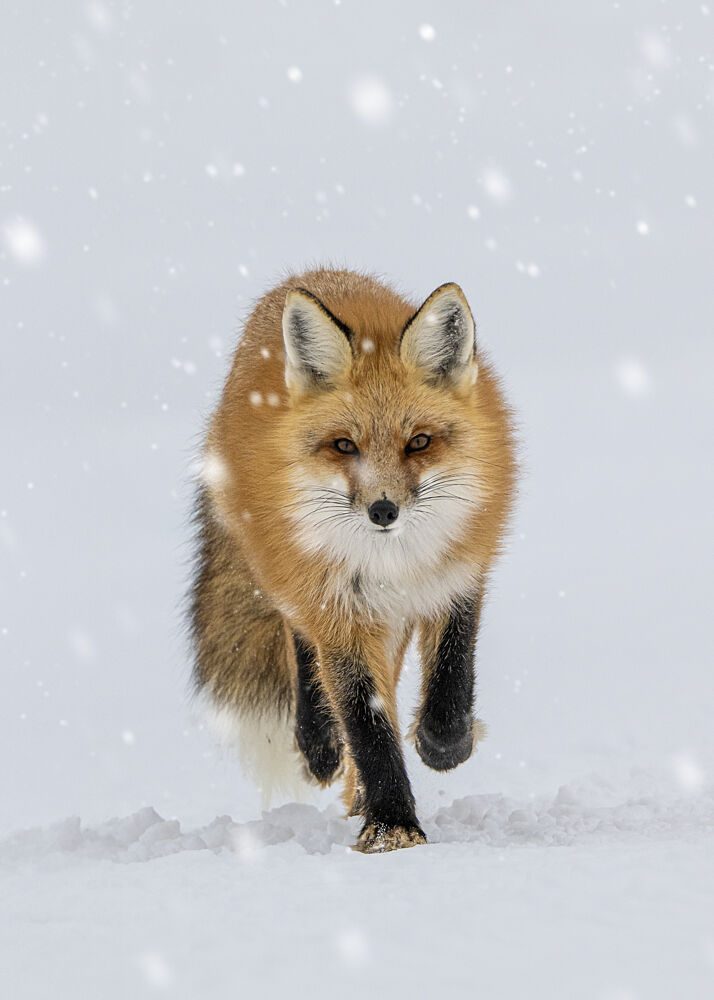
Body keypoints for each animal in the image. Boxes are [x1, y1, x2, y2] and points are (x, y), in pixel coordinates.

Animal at [190, 268, 516, 853]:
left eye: (419, 442)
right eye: (345, 445)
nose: (382, 510)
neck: (395, 561)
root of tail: (304, 276)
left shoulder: (459, 573)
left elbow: (453, 668)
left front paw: (442, 744)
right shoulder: (338, 607)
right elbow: (366, 721)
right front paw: (392, 826)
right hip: (291, 573)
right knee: (299, 640)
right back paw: (320, 746)